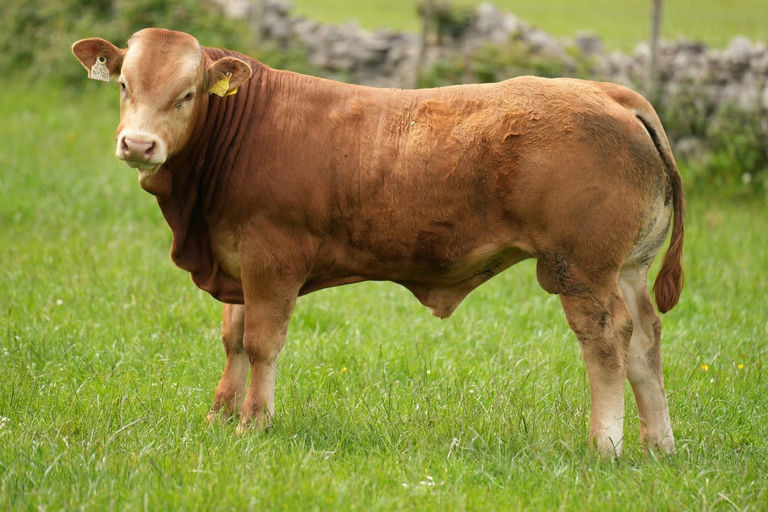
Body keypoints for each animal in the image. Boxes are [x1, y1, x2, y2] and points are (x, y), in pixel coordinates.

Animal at [72, 28, 684, 457]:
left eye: (188, 94)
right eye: (125, 85)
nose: (138, 144)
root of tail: (611, 93)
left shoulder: (272, 259)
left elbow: (262, 343)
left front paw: (253, 424)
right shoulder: (237, 258)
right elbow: (233, 339)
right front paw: (219, 417)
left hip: (579, 270)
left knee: (606, 339)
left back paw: (606, 445)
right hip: (625, 269)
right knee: (644, 339)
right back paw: (658, 443)